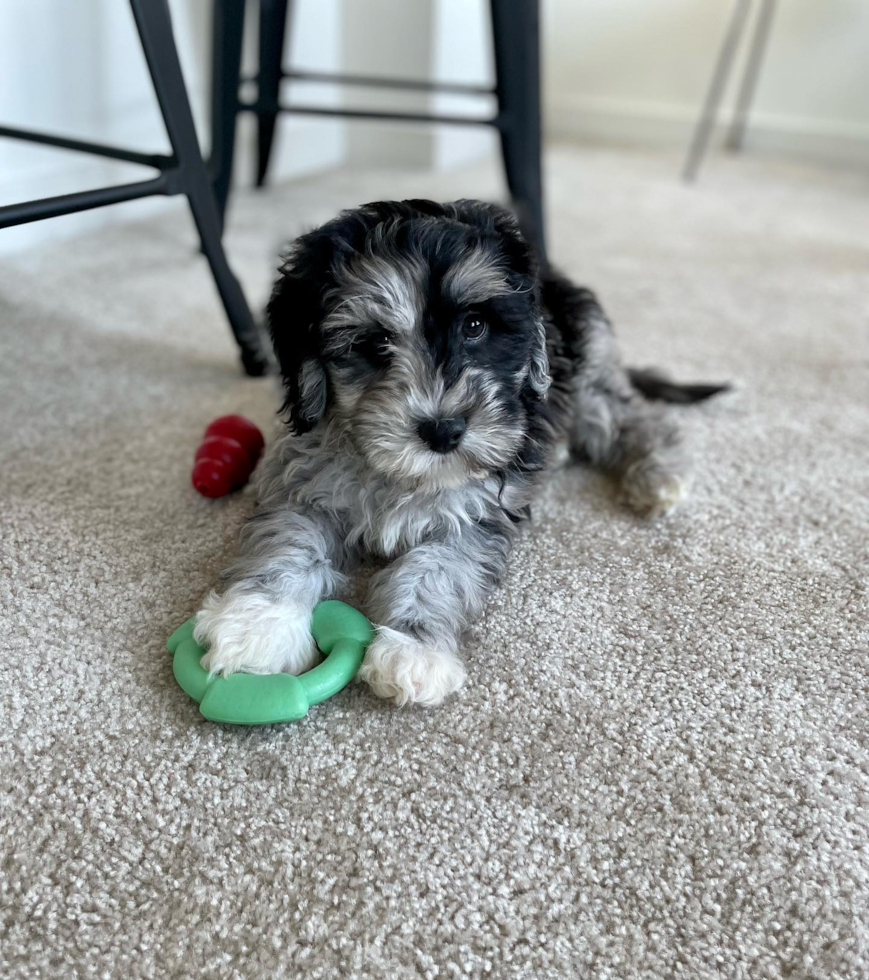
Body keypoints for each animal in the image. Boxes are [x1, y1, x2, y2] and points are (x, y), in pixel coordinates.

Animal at [192, 199, 724, 704]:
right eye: (376, 341)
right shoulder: (304, 481)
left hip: (586, 383)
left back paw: (659, 478)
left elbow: (435, 570)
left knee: (638, 420)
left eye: (475, 325)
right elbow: (289, 541)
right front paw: (256, 624)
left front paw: (413, 650)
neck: (397, 474)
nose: (444, 431)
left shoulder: (476, 514)